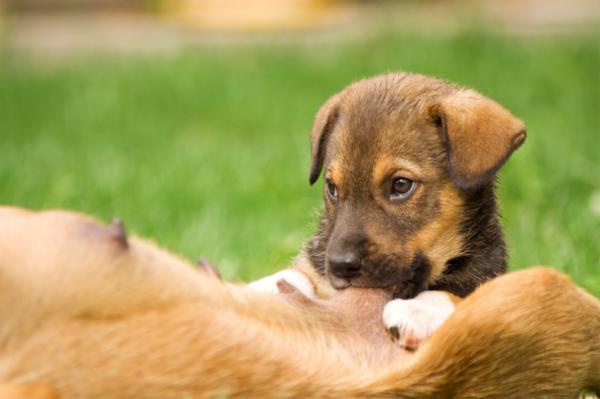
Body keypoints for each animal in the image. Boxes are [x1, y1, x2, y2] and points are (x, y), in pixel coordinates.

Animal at [251, 73, 528, 346]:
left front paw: (418, 310)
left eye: (401, 184)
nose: (340, 266)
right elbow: (298, 274)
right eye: (332, 187)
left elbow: (460, 296)